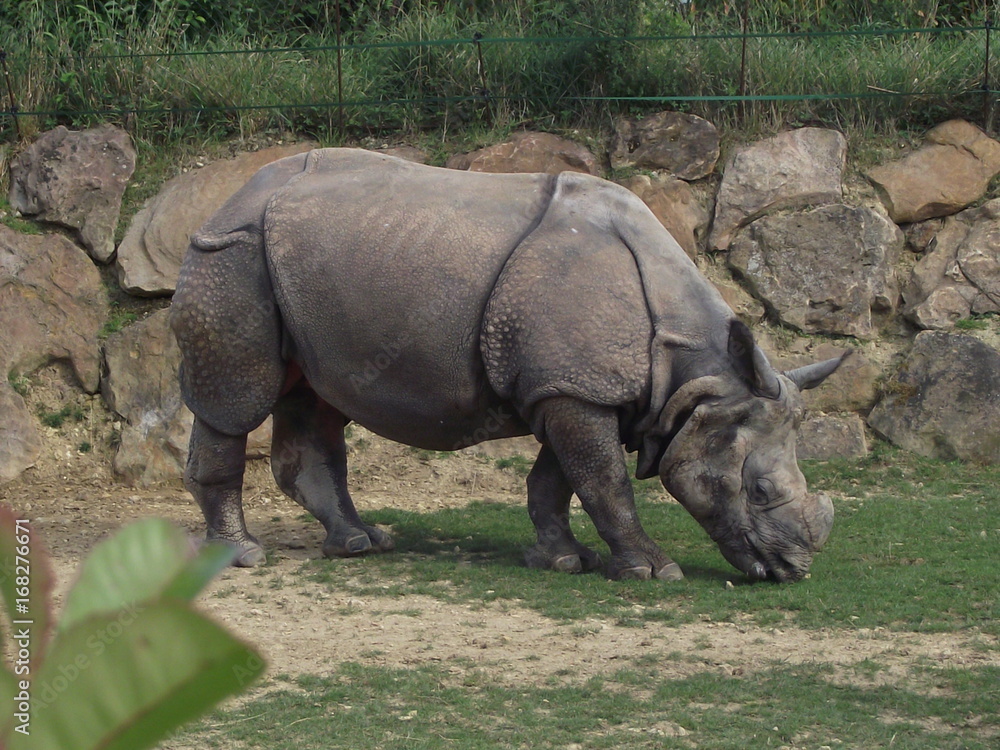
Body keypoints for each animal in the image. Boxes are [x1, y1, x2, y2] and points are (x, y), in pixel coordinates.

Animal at [171, 148, 845, 582]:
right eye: (758, 490)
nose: (795, 570)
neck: (698, 381)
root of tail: (226, 195)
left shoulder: (564, 388)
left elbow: (558, 482)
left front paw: (564, 562)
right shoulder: (575, 389)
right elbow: (605, 481)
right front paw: (654, 571)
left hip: (298, 265)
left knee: (316, 399)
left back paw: (362, 544)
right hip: (234, 251)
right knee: (236, 403)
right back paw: (243, 558)